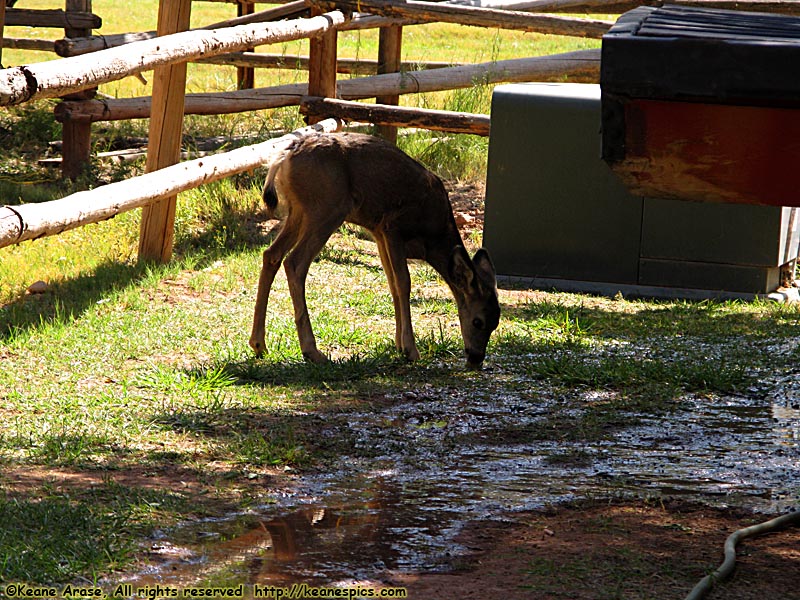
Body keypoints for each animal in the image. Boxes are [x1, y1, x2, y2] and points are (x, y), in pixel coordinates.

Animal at [250, 131, 500, 370]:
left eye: (496, 322)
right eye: (478, 321)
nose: (476, 358)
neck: (433, 237)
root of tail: (286, 156)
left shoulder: (379, 232)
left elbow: (392, 284)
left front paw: (399, 344)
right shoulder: (393, 226)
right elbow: (404, 283)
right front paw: (410, 350)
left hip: (299, 210)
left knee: (271, 254)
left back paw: (259, 344)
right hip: (327, 208)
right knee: (295, 262)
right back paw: (312, 351)